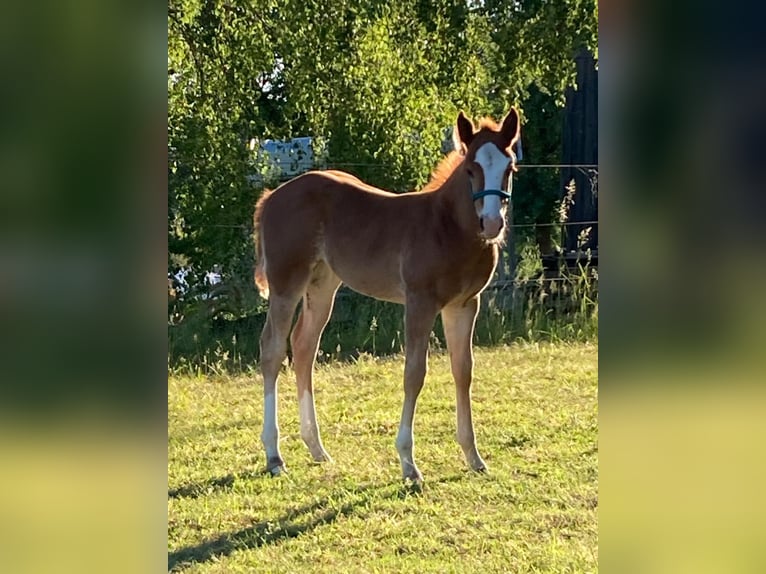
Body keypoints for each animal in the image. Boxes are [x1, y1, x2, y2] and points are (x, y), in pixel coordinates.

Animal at [253, 107, 521, 481]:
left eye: (509, 168)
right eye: (470, 169)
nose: (492, 223)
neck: (446, 226)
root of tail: (271, 197)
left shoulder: (464, 304)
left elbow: (463, 370)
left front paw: (474, 457)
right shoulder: (420, 302)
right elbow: (414, 374)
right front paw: (408, 463)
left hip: (323, 284)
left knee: (304, 346)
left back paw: (317, 448)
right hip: (286, 283)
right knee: (273, 350)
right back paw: (274, 455)